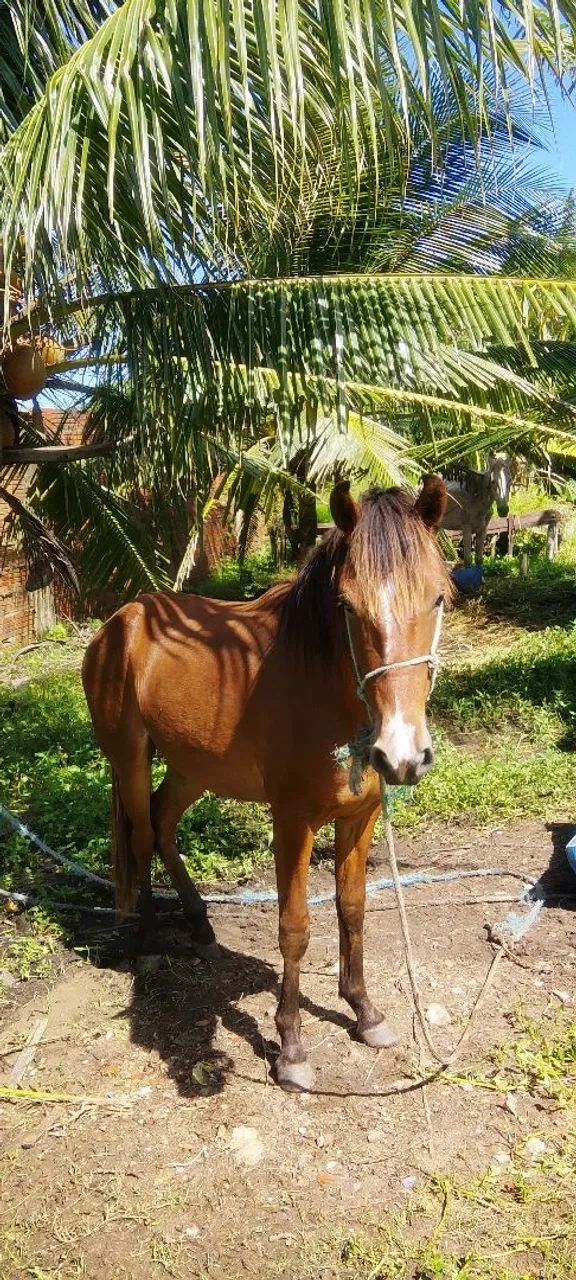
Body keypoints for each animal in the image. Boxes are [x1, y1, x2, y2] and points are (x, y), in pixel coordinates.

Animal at [82, 476, 451, 1091]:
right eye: (346, 605)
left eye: (439, 597)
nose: (401, 756)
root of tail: (120, 621)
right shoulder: (293, 821)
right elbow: (295, 927)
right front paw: (291, 1048)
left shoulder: (361, 817)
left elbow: (352, 909)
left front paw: (365, 1011)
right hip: (130, 761)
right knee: (141, 835)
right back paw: (150, 945)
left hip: (193, 767)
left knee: (162, 822)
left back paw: (201, 927)